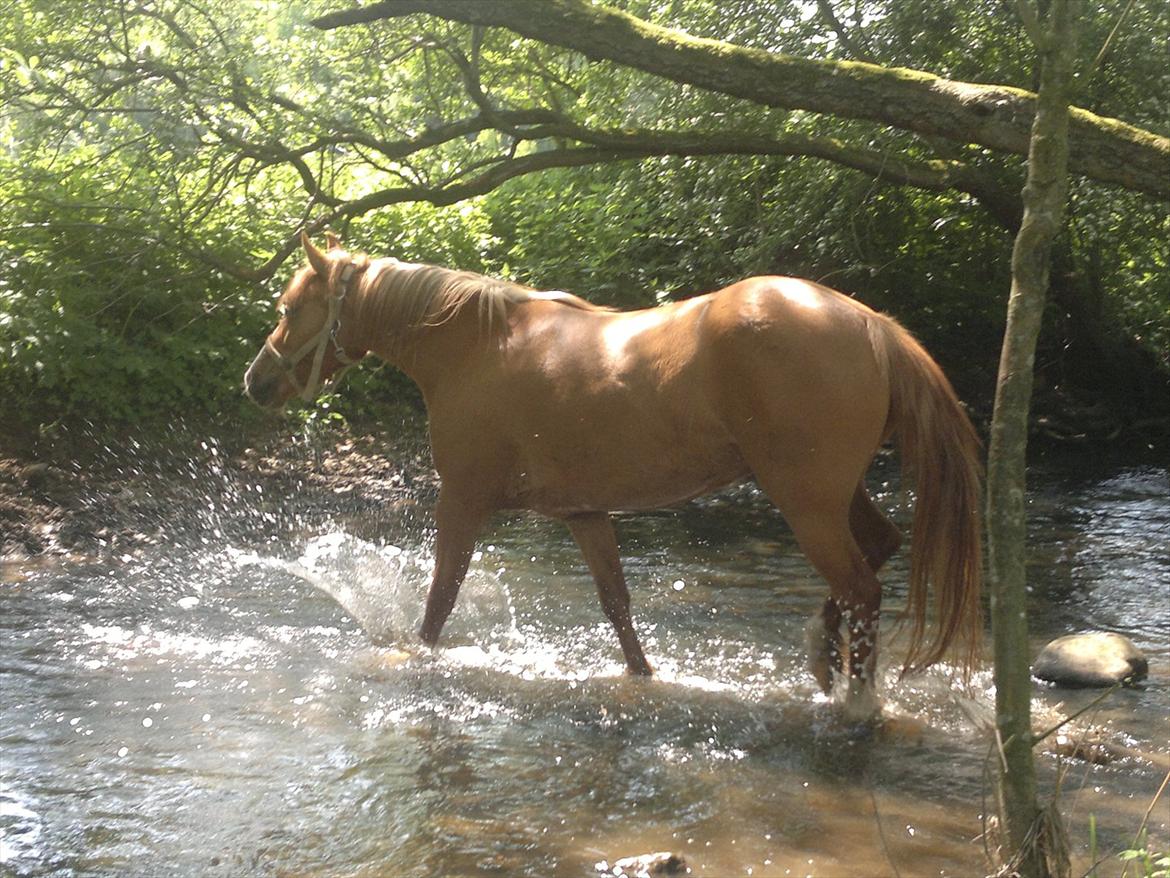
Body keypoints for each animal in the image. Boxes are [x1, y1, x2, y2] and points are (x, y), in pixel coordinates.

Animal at [242, 234, 982, 716]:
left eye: (287, 308)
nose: (256, 382)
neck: (478, 347)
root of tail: (871, 323)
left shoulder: (462, 502)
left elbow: (439, 601)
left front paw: (412, 663)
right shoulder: (585, 514)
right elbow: (618, 610)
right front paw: (642, 681)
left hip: (807, 503)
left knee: (862, 586)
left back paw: (855, 699)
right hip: (837, 495)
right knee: (879, 552)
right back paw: (822, 659)